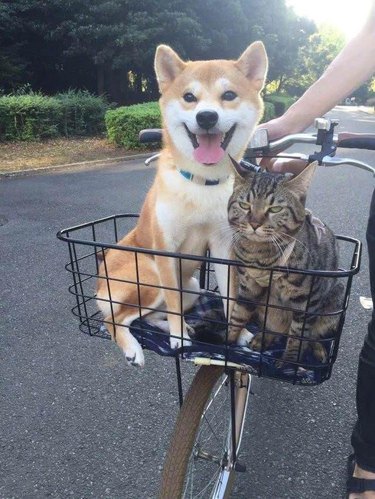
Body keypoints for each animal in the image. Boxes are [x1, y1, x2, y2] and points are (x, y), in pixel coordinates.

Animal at [96, 41, 268, 368]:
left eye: (229, 95)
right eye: (189, 97)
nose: (206, 117)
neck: (201, 184)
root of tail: (99, 279)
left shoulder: (223, 247)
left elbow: (230, 297)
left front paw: (237, 335)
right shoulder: (166, 250)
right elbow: (172, 303)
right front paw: (178, 339)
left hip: (193, 288)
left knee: (147, 318)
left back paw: (182, 327)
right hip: (150, 279)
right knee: (117, 320)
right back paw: (137, 347)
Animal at [228, 160, 346, 368]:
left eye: (275, 209)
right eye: (244, 205)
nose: (254, 224)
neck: (258, 254)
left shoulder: (307, 300)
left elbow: (298, 336)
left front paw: (289, 362)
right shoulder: (248, 288)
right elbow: (237, 315)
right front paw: (225, 343)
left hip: (334, 303)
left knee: (312, 335)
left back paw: (317, 349)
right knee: (275, 329)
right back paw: (263, 338)